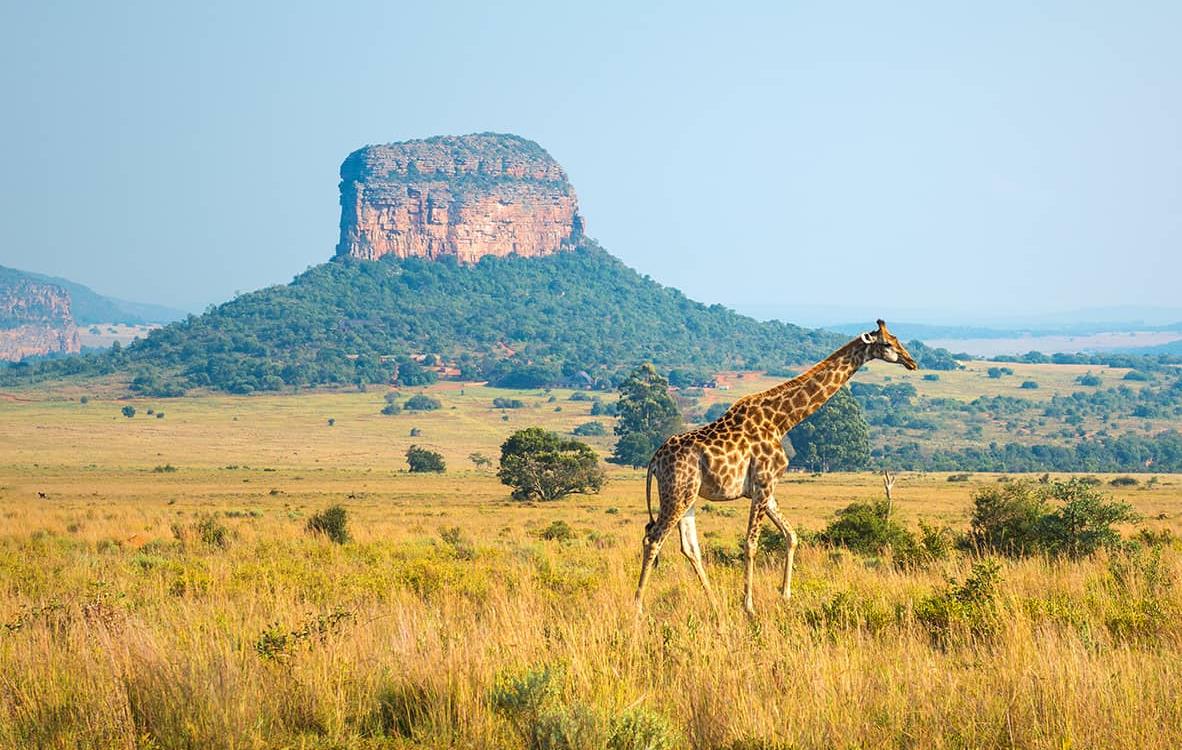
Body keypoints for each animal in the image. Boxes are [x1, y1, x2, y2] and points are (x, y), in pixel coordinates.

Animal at [638, 318, 912, 614]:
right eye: (887, 343)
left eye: (897, 339)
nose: (911, 361)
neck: (782, 421)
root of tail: (655, 460)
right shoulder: (763, 484)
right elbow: (751, 543)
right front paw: (749, 606)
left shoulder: (765, 490)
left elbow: (791, 536)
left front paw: (786, 594)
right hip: (677, 493)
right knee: (653, 539)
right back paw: (638, 606)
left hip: (688, 496)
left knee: (689, 547)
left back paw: (715, 604)